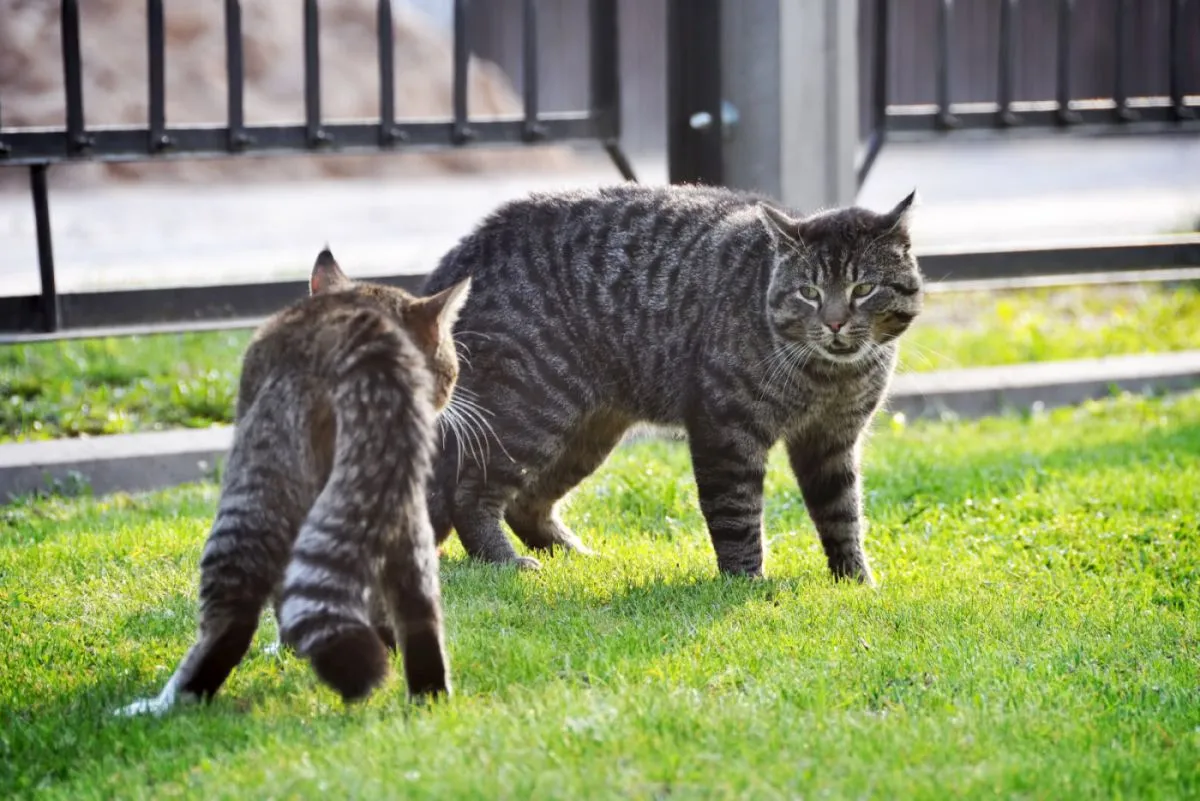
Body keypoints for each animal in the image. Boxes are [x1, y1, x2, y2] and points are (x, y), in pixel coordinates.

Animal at [117, 250, 470, 714]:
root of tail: (362, 339)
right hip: (394, 504)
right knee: (418, 608)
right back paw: (428, 693)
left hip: (258, 485)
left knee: (232, 619)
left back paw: (168, 702)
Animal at [427, 184, 921, 585]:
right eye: (809, 292)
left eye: (863, 289)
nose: (835, 322)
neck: (830, 377)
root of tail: (469, 245)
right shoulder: (726, 430)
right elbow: (736, 513)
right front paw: (746, 583)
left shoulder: (831, 440)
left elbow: (842, 514)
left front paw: (857, 582)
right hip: (529, 413)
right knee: (468, 494)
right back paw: (504, 561)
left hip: (584, 434)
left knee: (525, 501)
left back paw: (573, 554)